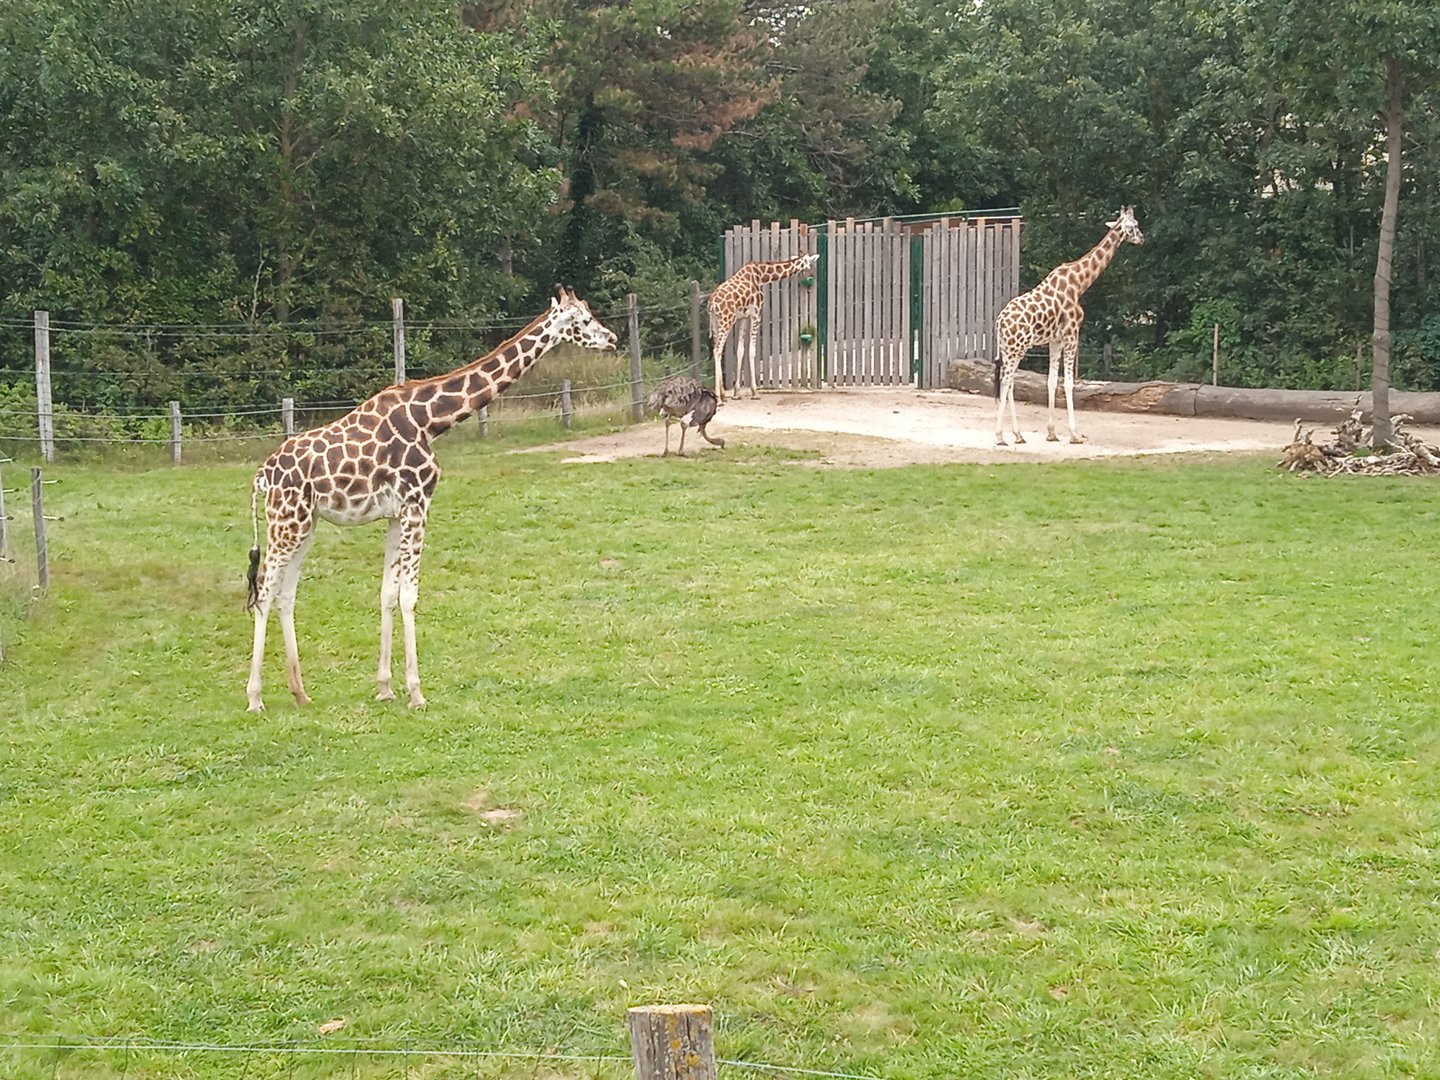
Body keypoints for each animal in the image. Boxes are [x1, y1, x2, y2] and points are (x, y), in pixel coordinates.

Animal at [244, 287, 617, 713]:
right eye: (583, 320)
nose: (612, 338)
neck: (431, 420)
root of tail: (262, 475)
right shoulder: (417, 503)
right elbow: (409, 596)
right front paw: (416, 692)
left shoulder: (395, 512)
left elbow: (387, 595)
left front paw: (385, 687)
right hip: (286, 521)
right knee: (264, 592)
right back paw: (255, 698)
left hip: (305, 523)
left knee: (285, 594)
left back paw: (300, 692)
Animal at [709, 253, 818, 402]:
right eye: (809, 264)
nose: (811, 276)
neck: (761, 276)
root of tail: (712, 304)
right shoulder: (756, 314)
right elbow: (752, 350)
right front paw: (755, 392)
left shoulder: (743, 317)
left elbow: (740, 350)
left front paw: (737, 393)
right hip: (726, 321)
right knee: (717, 350)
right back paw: (719, 399)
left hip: (716, 323)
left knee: (717, 349)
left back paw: (723, 395)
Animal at [994, 207, 1145, 446]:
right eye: (1135, 225)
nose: (1142, 238)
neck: (1080, 283)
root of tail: (999, 322)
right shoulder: (1072, 333)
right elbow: (1069, 383)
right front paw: (1075, 434)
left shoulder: (1055, 339)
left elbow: (1051, 381)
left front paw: (1052, 433)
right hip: (1017, 348)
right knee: (1006, 381)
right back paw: (1000, 436)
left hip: (1008, 349)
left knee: (1008, 383)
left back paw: (1018, 435)